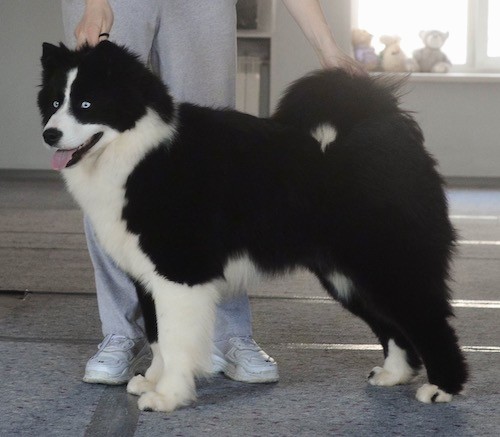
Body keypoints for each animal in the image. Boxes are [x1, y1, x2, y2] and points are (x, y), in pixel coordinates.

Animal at [39, 41, 468, 412]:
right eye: (55, 102)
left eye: (87, 104)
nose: (49, 134)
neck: (139, 151)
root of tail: (383, 123)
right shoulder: (148, 276)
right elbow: (159, 336)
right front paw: (153, 380)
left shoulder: (179, 271)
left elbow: (176, 341)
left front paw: (168, 397)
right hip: (347, 274)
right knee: (393, 325)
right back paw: (393, 375)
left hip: (386, 263)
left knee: (429, 321)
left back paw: (442, 388)